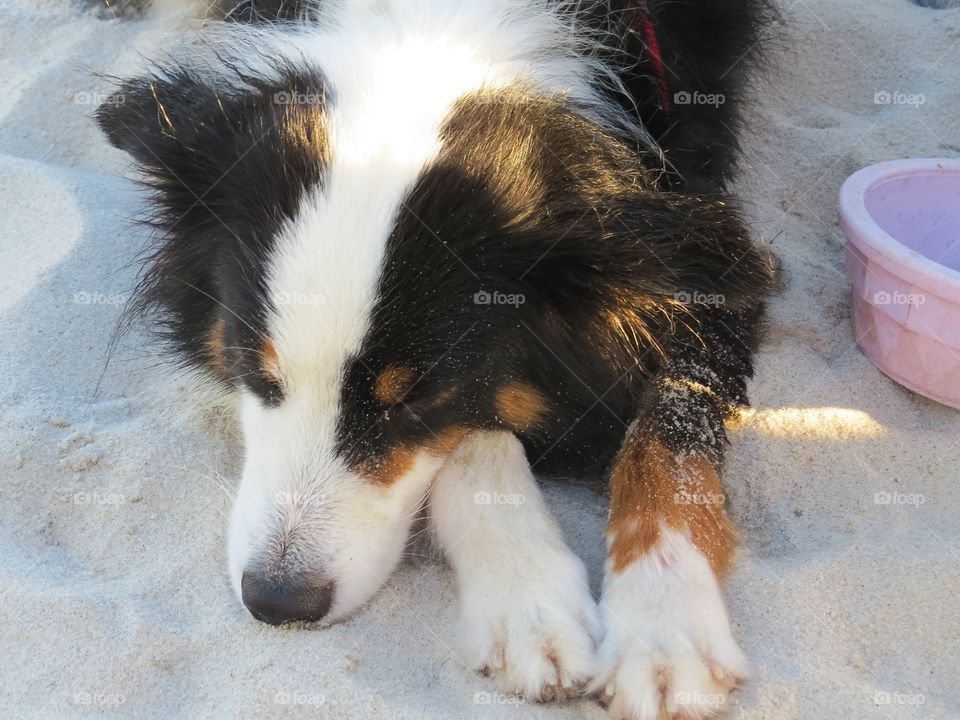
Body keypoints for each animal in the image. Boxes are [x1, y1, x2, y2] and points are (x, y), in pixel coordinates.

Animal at [95, 2, 772, 716]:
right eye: (255, 368)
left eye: (416, 397)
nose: (279, 599)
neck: (429, 30)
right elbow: (479, 433)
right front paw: (528, 605)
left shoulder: (705, 259)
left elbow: (670, 436)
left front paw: (666, 633)